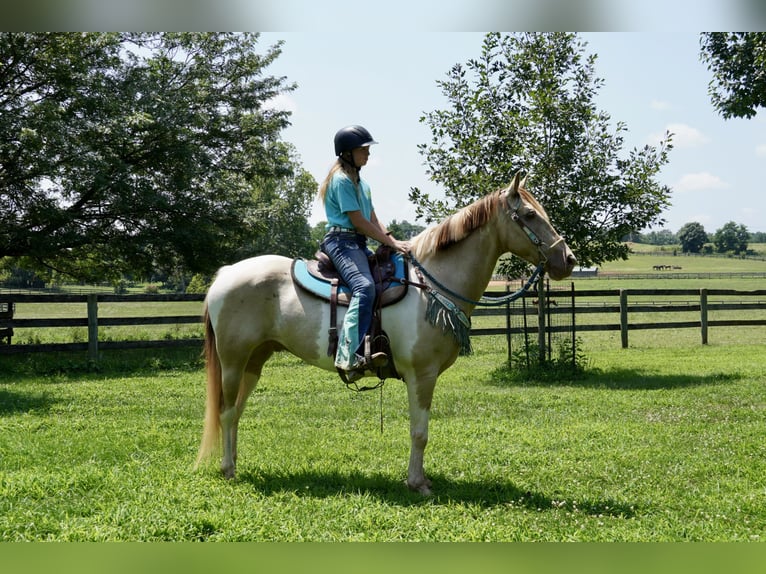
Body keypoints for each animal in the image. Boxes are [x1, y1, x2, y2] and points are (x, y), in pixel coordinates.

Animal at [195, 171, 576, 495]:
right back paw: (228, 470)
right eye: (529, 214)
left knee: (236, 412)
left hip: (254, 361)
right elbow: (420, 432)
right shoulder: (422, 375)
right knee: (226, 412)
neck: (431, 285)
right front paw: (418, 484)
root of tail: (225, 275)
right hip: (233, 361)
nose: (568, 259)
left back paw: (234, 462)